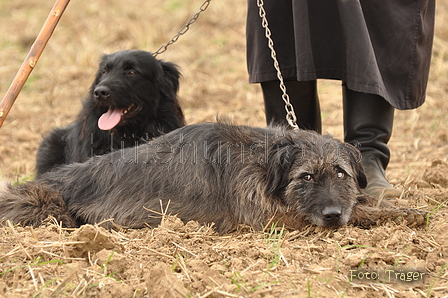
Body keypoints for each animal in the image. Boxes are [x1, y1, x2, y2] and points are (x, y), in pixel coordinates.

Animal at [0, 122, 428, 232]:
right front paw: (401, 215)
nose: (333, 216)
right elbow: (364, 213)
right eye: (305, 177)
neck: (263, 163)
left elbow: (364, 201)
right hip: (42, 204)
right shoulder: (272, 219)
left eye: (341, 173)